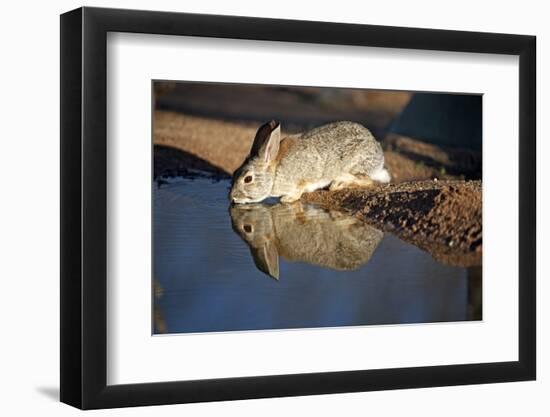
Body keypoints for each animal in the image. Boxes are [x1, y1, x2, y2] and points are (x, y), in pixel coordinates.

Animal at [231, 119, 390, 204]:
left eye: (248, 179)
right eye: (234, 172)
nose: (232, 197)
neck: (274, 173)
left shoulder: (302, 179)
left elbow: (299, 191)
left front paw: (287, 199)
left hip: (356, 164)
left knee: (367, 180)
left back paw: (338, 183)